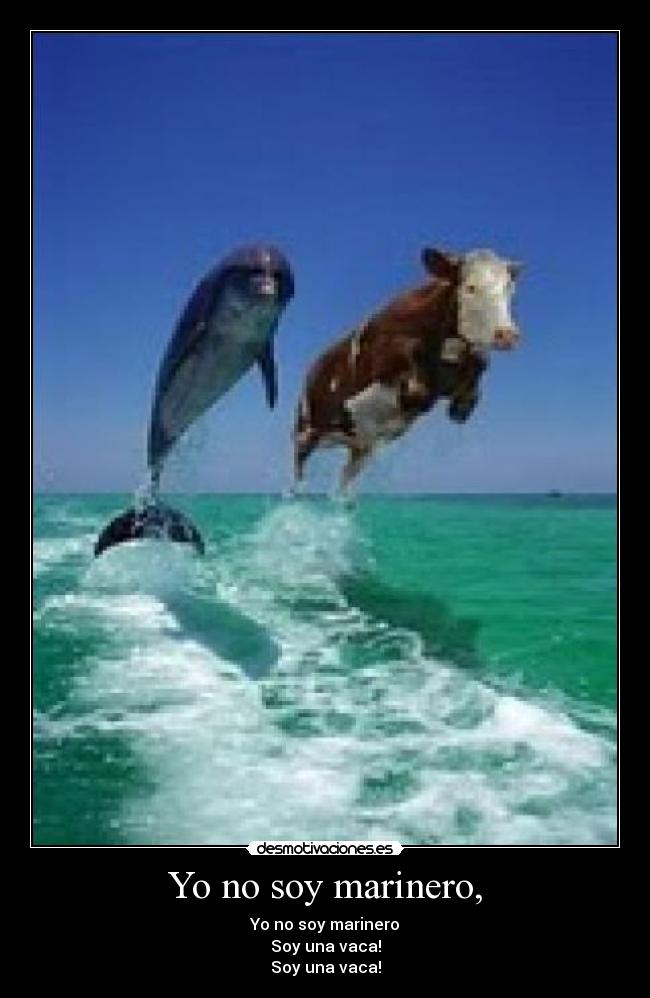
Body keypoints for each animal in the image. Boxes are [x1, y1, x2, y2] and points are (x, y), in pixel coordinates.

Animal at [292, 247, 522, 493]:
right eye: (470, 287)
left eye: (509, 288)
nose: (507, 334)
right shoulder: (384, 356)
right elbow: (410, 357)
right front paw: (413, 396)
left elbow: (481, 361)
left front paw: (462, 406)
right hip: (305, 431)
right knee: (298, 470)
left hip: (360, 447)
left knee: (345, 477)